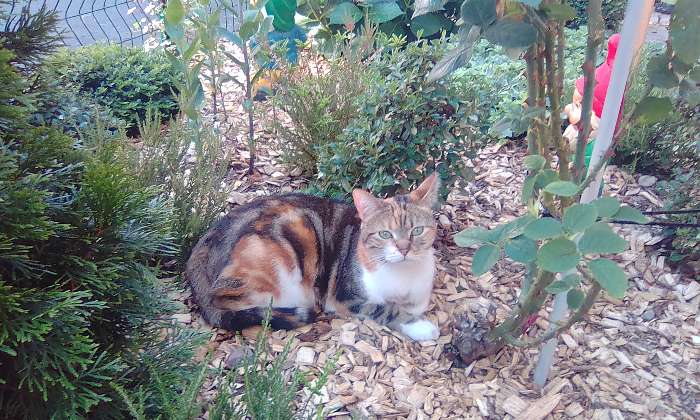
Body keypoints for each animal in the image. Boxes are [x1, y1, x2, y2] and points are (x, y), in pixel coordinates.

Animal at [186, 172, 438, 340]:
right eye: (385, 234)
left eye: (417, 230)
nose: (404, 249)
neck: (402, 278)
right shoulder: (345, 296)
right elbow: (385, 309)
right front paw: (421, 327)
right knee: (226, 300)